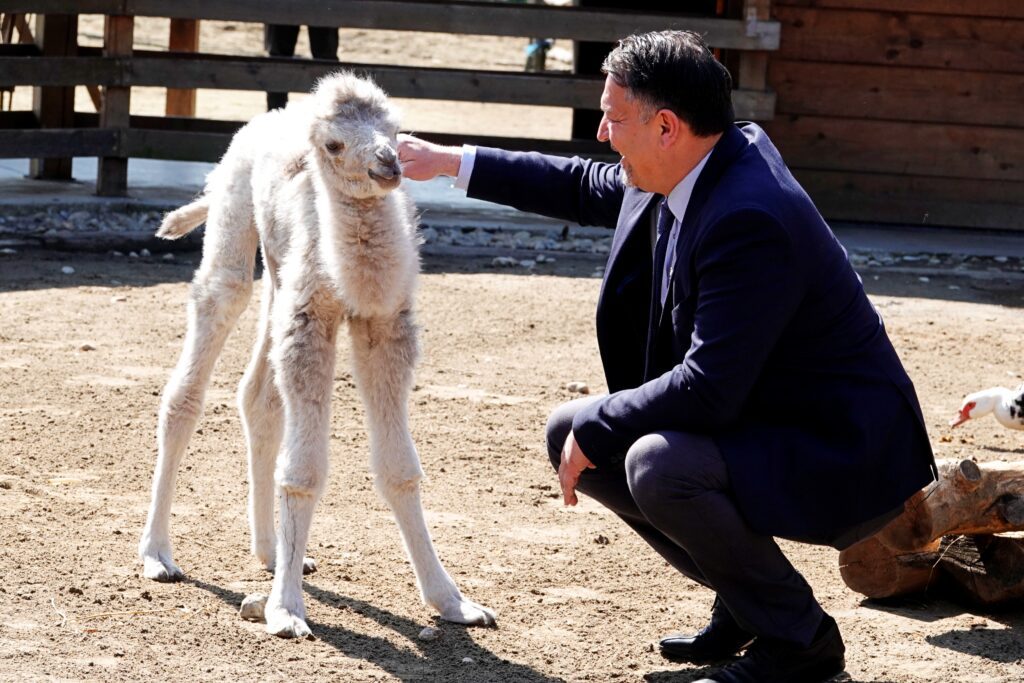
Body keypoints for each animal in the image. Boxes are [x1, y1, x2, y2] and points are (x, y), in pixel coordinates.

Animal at [138, 72, 497, 638]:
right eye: (333, 144)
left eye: (394, 129)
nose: (388, 163)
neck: (352, 281)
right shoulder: (312, 321)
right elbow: (304, 471)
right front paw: (286, 610)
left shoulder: (384, 325)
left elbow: (400, 468)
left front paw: (453, 602)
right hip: (236, 229)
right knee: (195, 367)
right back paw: (158, 555)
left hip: (280, 279)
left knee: (258, 398)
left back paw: (271, 552)